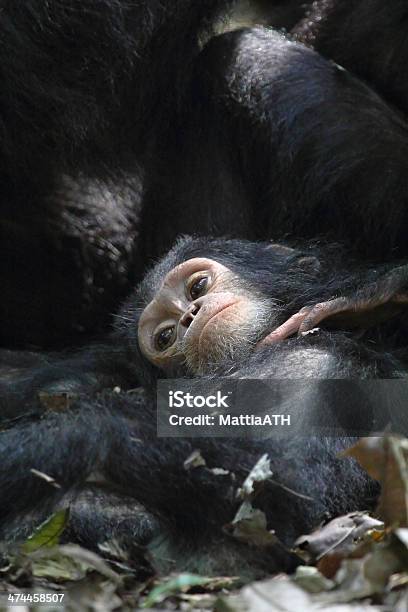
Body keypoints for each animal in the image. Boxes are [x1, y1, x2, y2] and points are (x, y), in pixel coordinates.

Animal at [0, 237, 408, 576]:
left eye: (197, 287)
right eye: (165, 336)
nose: (188, 315)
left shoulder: (314, 364)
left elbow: (286, 490)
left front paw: (42, 445)